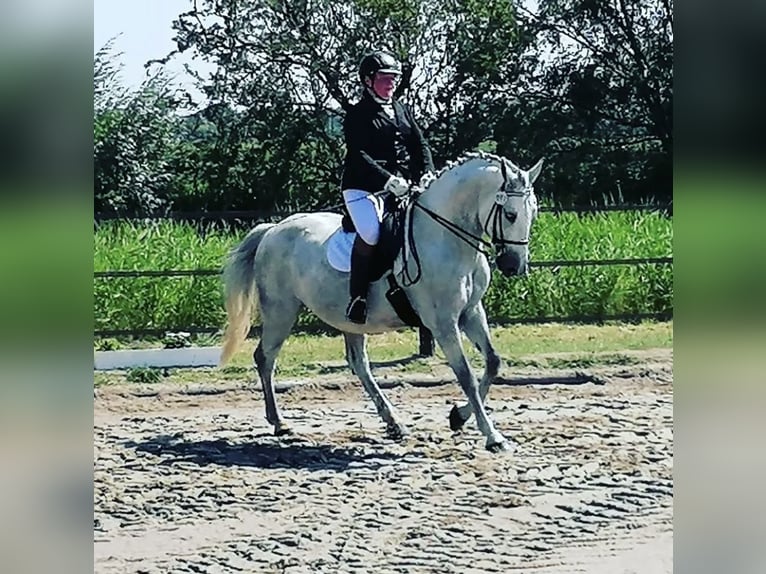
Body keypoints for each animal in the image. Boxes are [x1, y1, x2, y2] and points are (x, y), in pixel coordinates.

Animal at [219, 153, 544, 454]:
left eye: (534, 211)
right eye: (511, 214)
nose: (514, 266)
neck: (445, 237)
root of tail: (272, 229)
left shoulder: (471, 313)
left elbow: (493, 362)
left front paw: (459, 417)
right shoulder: (442, 322)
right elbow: (466, 375)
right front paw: (493, 436)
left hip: (347, 319)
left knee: (359, 364)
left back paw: (393, 422)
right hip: (281, 311)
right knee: (265, 358)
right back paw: (279, 422)